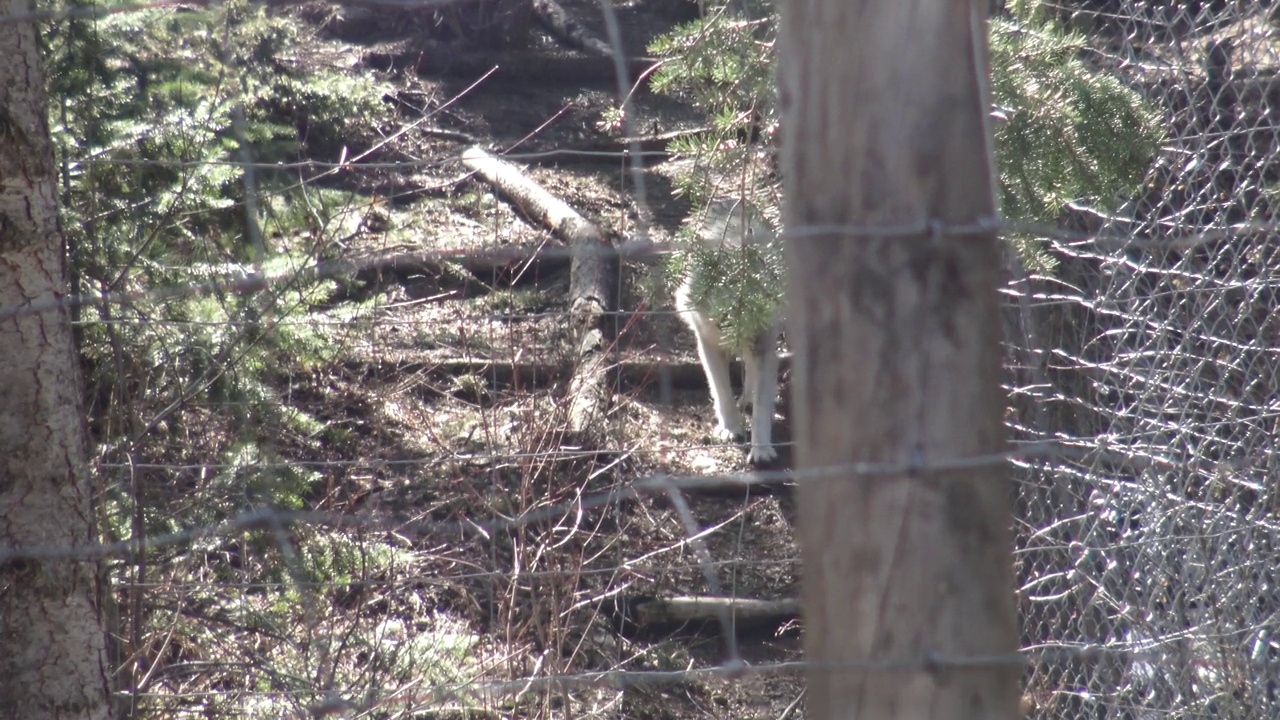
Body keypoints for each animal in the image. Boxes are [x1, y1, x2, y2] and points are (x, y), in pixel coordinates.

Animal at [675, 197, 783, 466]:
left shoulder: (764, 343)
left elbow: (762, 404)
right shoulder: (708, 342)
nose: (735, 333)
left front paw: (761, 450)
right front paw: (731, 428)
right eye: (724, 315)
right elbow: (721, 389)